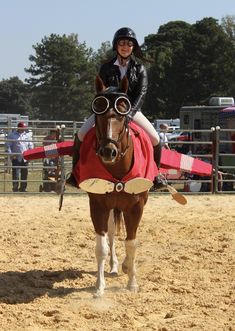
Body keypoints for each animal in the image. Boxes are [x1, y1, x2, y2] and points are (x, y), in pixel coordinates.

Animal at [78, 76, 153, 298]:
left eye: (122, 112)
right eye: (98, 112)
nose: (108, 151)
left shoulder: (136, 208)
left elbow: (132, 242)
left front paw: (132, 283)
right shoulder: (98, 206)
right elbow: (101, 247)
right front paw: (99, 286)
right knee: (111, 235)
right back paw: (113, 266)